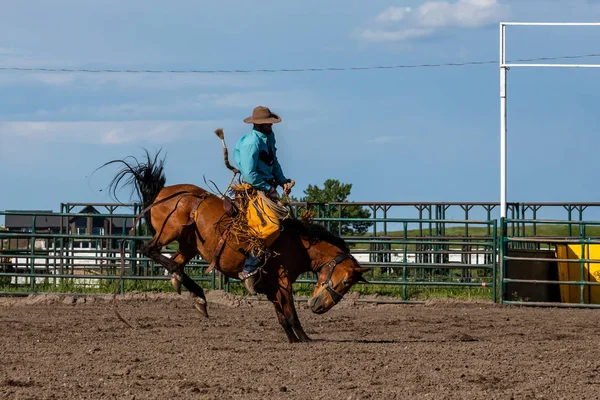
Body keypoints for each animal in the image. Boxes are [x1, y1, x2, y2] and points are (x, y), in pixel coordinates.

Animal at [102, 148, 366, 342]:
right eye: (344, 282)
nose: (319, 308)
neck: (298, 243)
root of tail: (162, 193)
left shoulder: (272, 286)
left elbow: (281, 315)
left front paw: (293, 339)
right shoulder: (282, 282)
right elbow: (290, 313)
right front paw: (306, 340)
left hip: (188, 244)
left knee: (174, 261)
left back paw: (193, 293)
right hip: (169, 231)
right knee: (151, 251)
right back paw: (193, 289)